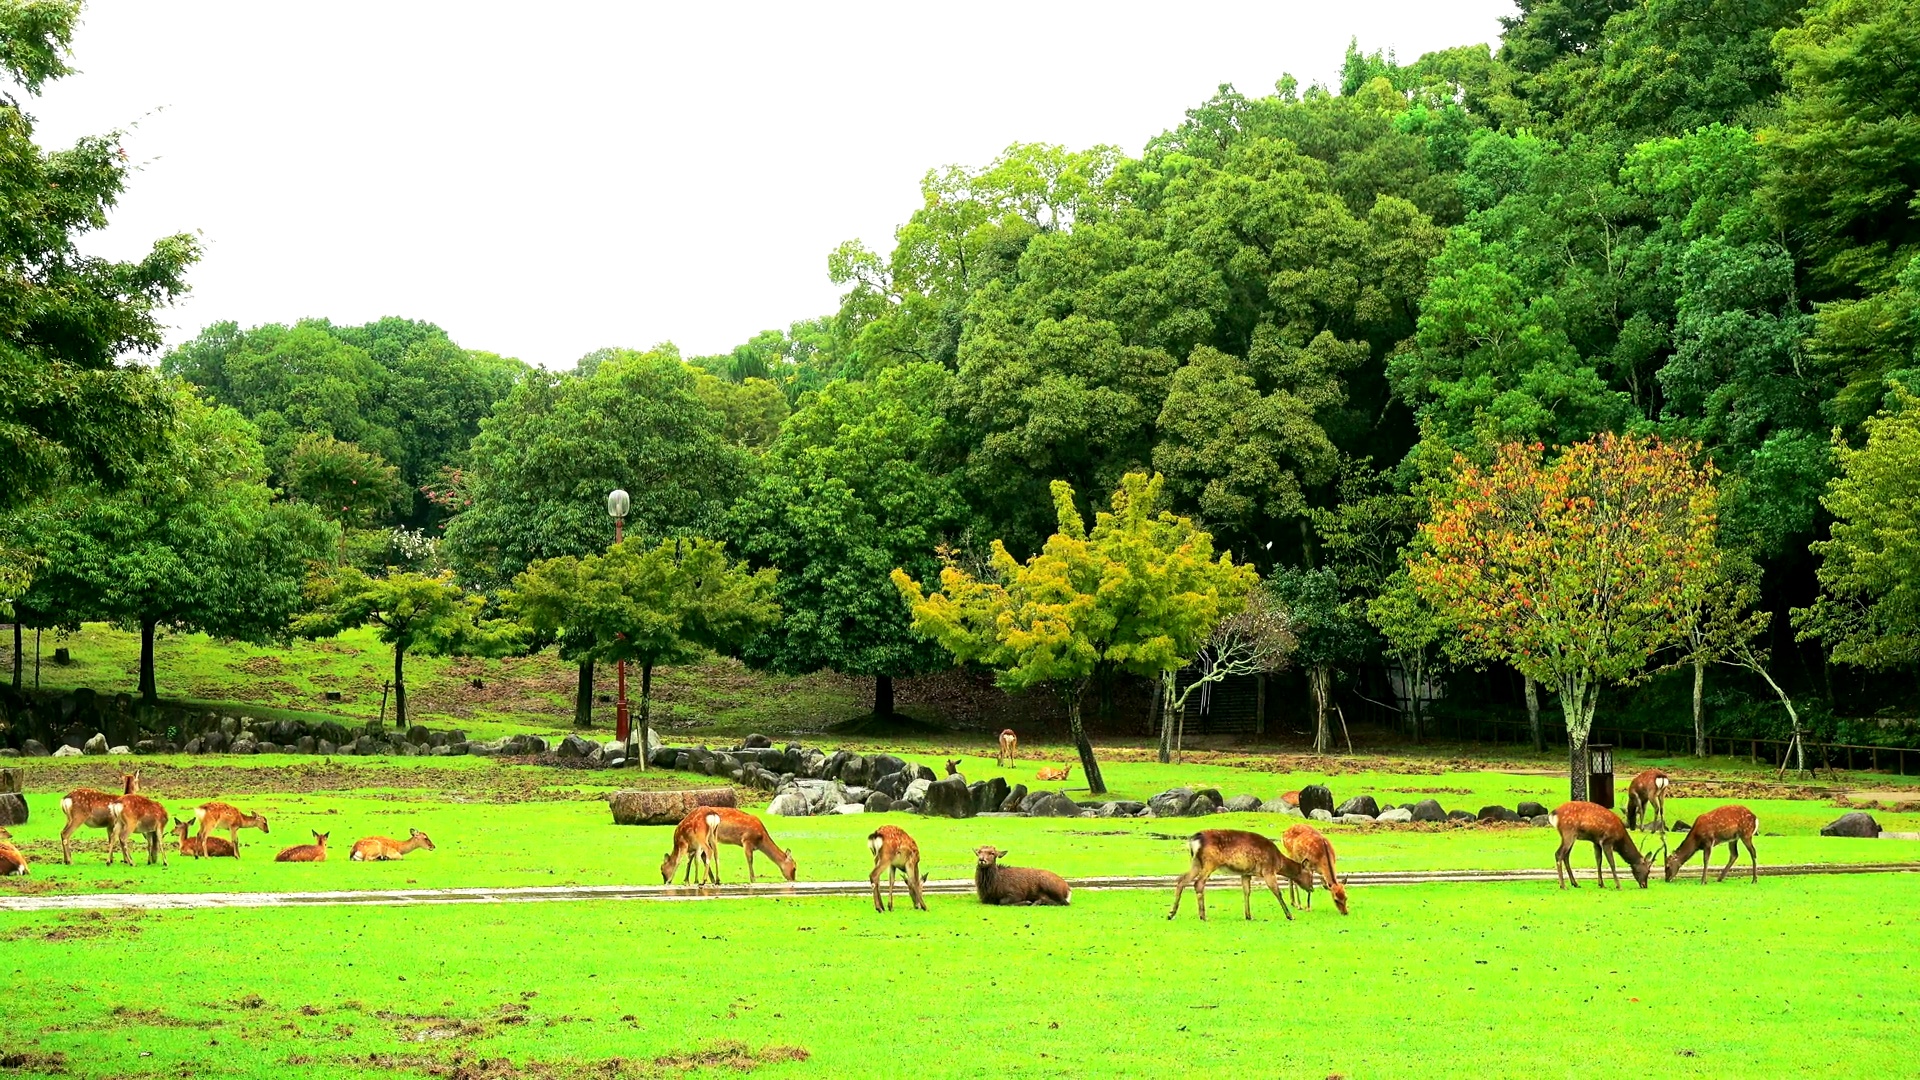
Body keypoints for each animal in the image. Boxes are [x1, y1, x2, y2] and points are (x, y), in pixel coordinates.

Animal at [1159, 822, 1313, 914]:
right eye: (1310, 875)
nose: (1312, 888)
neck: (1278, 861)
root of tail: (1194, 840)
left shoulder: (1246, 873)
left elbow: (1246, 892)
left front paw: (1248, 916)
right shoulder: (1268, 870)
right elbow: (1277, 892)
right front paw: (1290, 915)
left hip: (1196, 862)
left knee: (1182, 879)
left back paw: (1171, 913)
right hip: (1210, 862)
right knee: (1198, 883)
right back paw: (1203, 916)